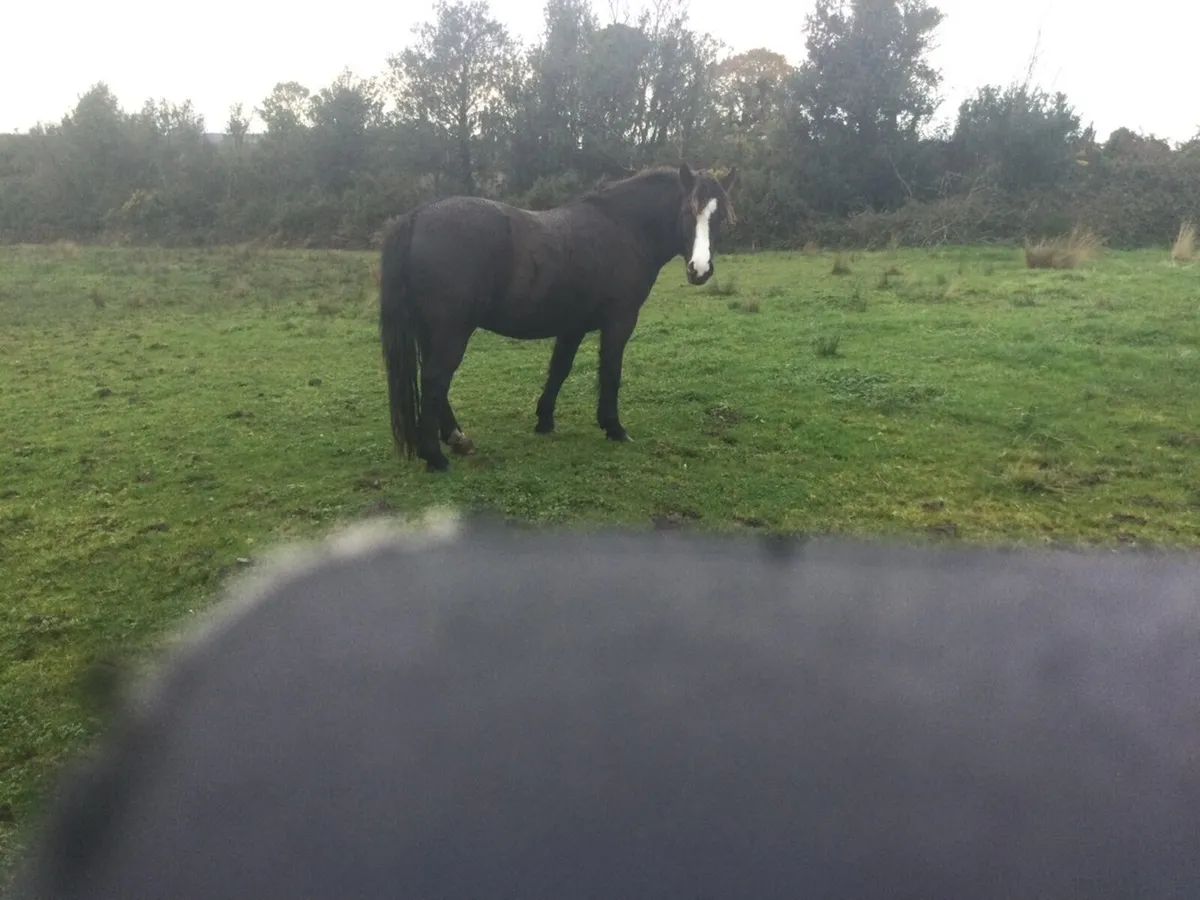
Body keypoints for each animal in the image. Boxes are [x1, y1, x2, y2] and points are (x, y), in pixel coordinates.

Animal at [378, 163, 737, 472]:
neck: (624, 229)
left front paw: (544, 421)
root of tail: (417, 217)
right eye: (688, 211)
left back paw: (456, 439)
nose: (700, 270)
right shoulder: (619, 322)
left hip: (432, 332)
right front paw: (614, 428)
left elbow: (559, 370)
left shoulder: (572, 327)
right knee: (435, 379)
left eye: (718, 215)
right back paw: (435, 457)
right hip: (451, 332)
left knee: (435, 382)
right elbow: (611, 372)